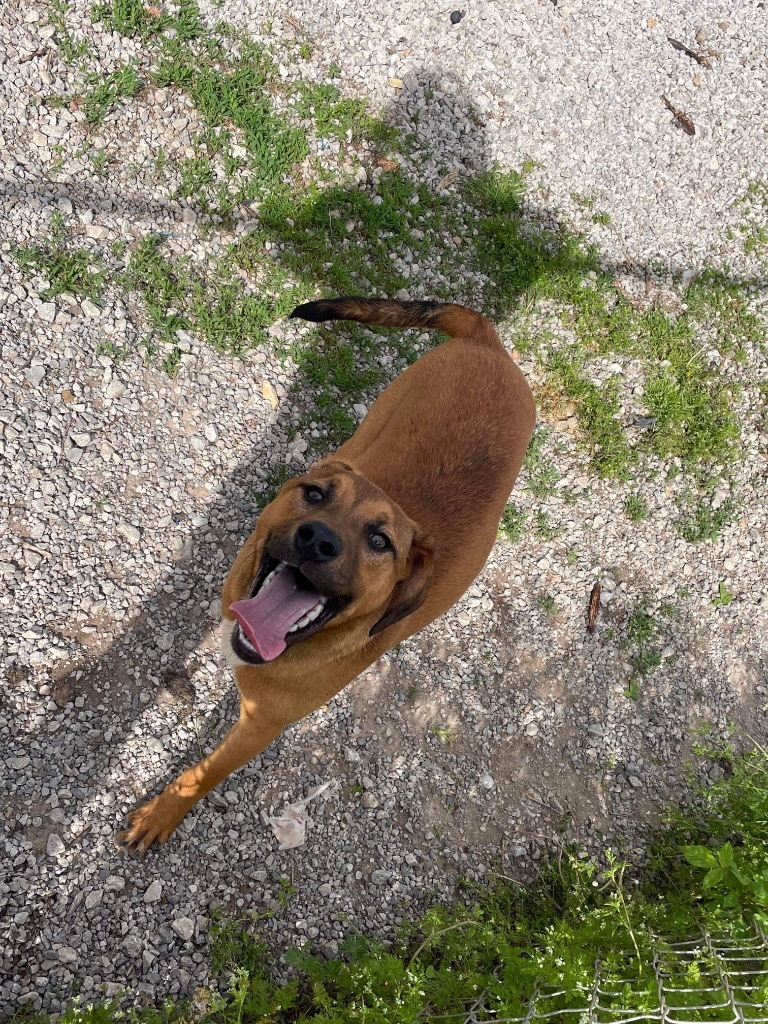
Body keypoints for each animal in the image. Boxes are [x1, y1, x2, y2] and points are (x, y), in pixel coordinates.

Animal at [123, 299, 536, 851]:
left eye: (380, 542)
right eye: (315, 495)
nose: (317, 540)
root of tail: (489, 342)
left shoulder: (261, 726)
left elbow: (202, 774)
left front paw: (162, 814)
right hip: (379, 416)